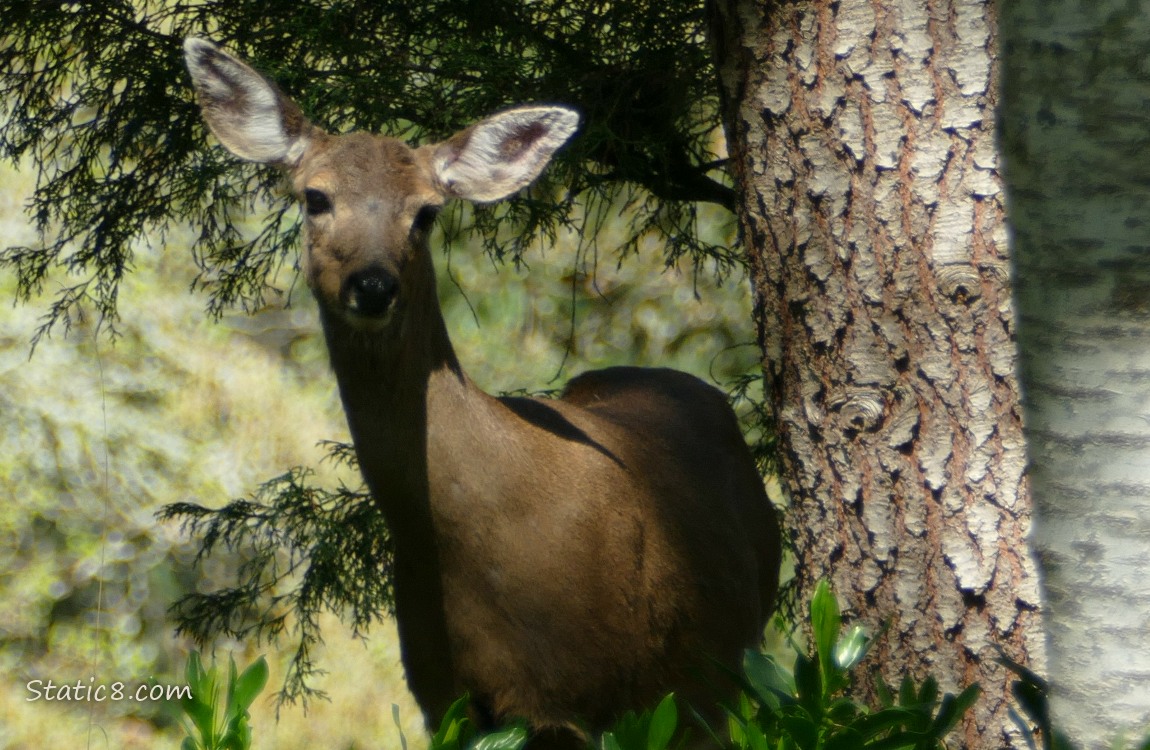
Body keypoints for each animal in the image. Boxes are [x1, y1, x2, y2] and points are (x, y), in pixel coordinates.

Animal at [183, 37, 781, 748]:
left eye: (426, 212)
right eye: (316, 197)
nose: (373, 285)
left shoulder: (570, 692)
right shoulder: (442, 695)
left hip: (712, 675)